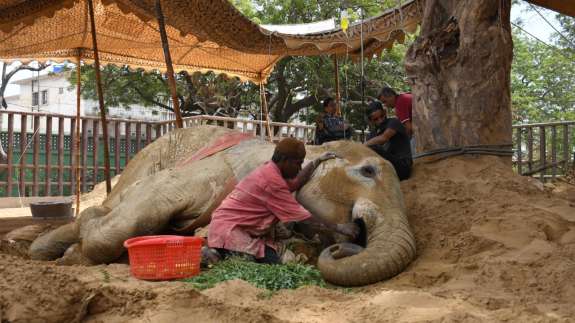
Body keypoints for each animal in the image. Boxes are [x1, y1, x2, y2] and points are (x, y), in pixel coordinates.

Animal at [29, 125, 416, 288]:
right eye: (367, 171)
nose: (349, 241)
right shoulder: (218, 174)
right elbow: (148, 205)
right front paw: (74, 254)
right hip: (143, 162)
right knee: (108, 209)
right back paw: (43, 248)